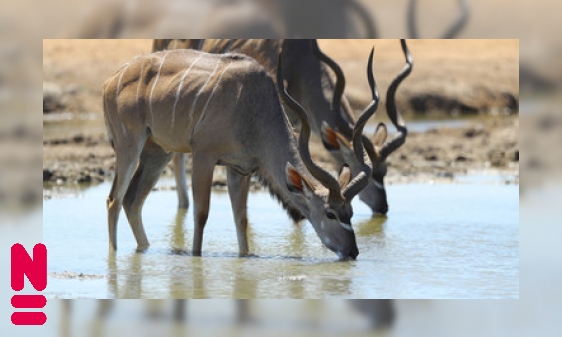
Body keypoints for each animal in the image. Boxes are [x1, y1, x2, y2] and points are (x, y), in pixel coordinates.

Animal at [103, 45, 378, 258]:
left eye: (350, 212)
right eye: (330, 213)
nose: (352, 252)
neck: (252, 105)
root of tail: (111, 81)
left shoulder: (240, 169)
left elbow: (241, 219)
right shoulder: (204, 155)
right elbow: (201, 213)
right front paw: (195, 258)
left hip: (158, 152)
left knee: (132, 201)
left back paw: (145, 249)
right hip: (129, 146)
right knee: (114, 200)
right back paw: (113, 255)